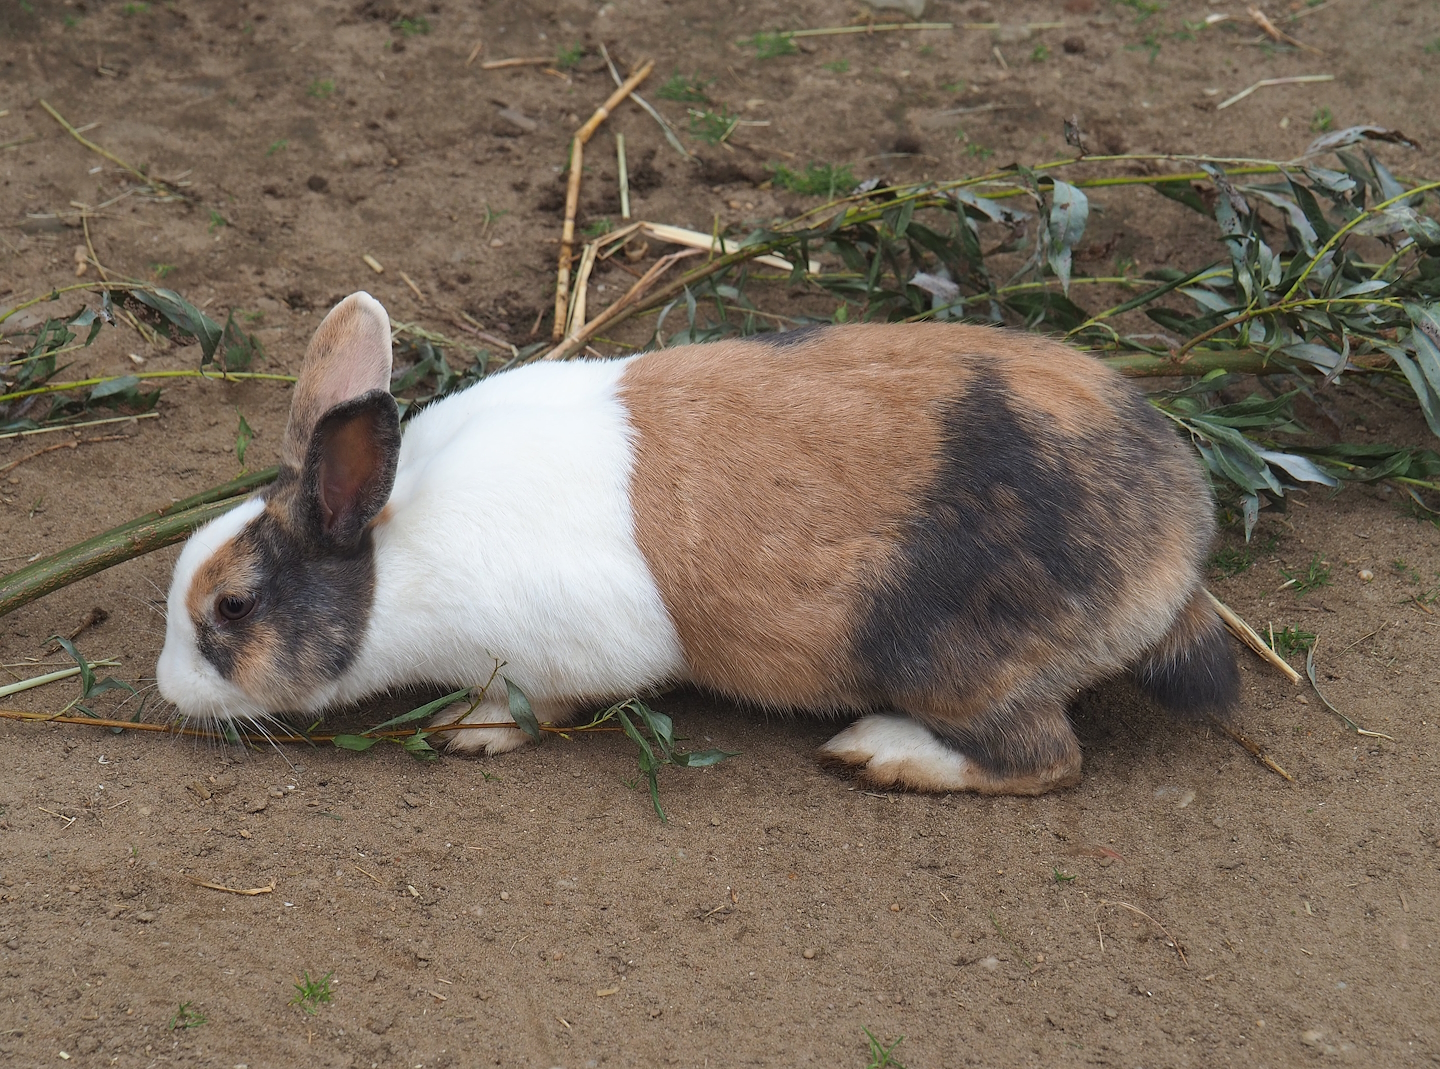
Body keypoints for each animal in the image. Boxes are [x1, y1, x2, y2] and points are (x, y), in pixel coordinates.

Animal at [156, 290, 1238, 796]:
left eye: (234, 606)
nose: (169, 691)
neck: (394, 551)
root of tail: (1179, 555)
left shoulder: (564, 653)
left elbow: (536, 703)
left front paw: (470, 729)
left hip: (958, 665)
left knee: (1045, 758)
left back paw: (878, 751)